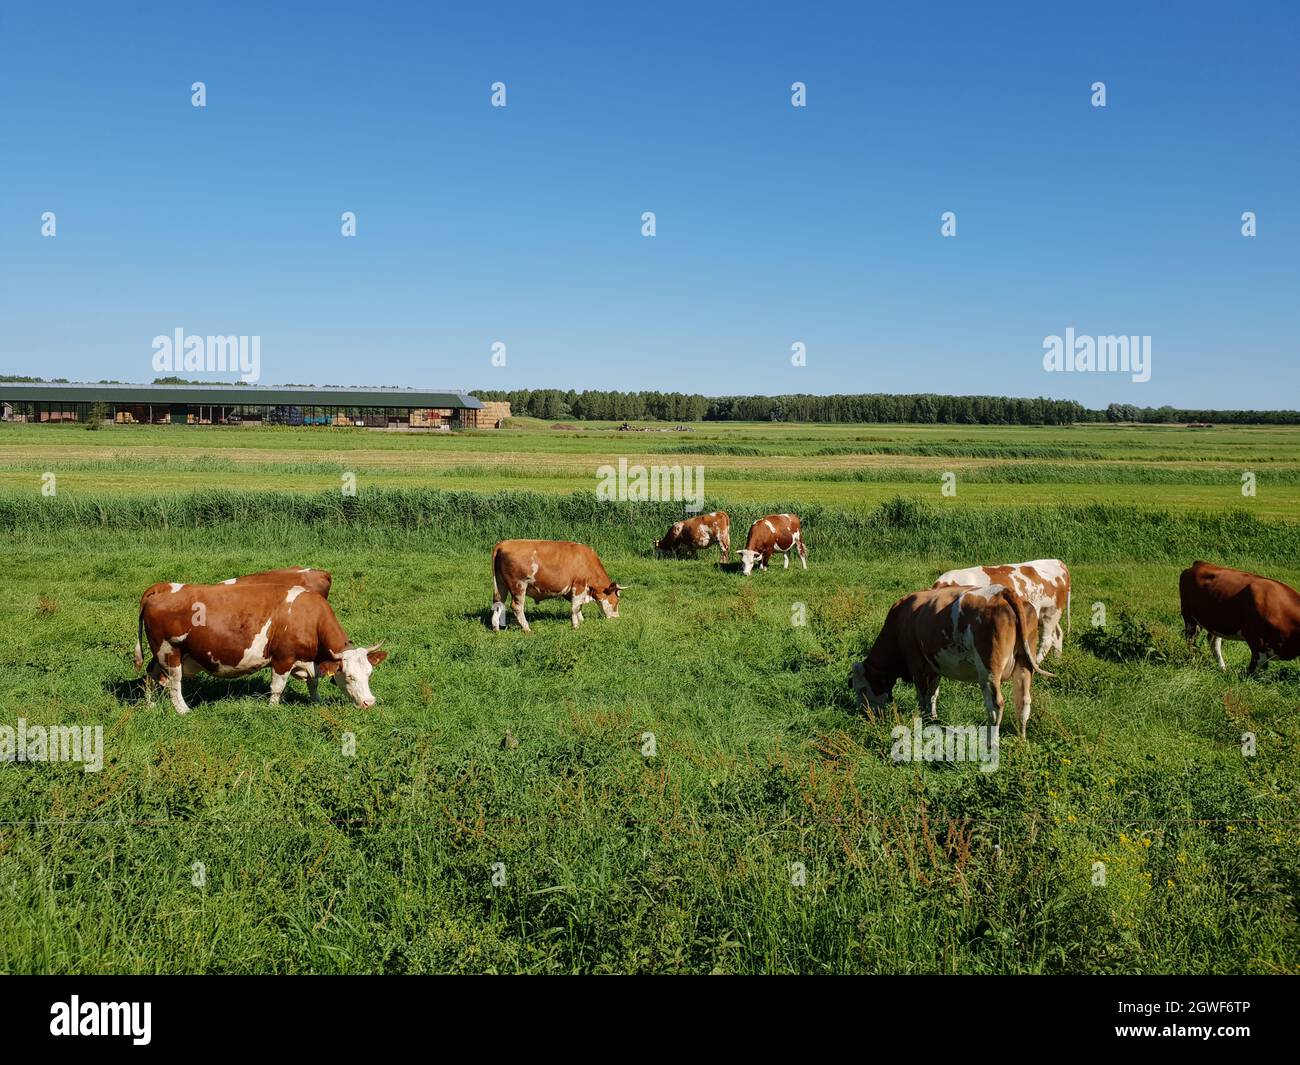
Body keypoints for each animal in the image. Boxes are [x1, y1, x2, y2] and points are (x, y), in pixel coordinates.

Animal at [136, 581, 385, 713]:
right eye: (350, 676)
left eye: (370, 674)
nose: (370, 702)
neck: (308, 617)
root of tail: (162, 587)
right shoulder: (283, 658)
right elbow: (277, 687)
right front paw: (273, 709)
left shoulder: (309, 661)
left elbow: (313, 684)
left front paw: (317, 702)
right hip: (170, 652)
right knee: (173, 684)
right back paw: (183, 710)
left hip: (159, 655)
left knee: (149, 675)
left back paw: (149, 705)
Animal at [491, 540, 624, 632]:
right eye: (616, 601)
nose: (617, 618)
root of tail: (503, 543)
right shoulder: (579, 586)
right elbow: (575, 607)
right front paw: (575, 626)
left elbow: (578, 607)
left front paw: (581, 620)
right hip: (519, 585)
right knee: (517, 607)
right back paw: (527, 628)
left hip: (500, 585)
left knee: (498, 604)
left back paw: (496, 628)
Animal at [850, 585, 1052, 739]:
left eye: (862, 689)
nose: (866, 716)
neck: (902, 619)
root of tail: (1001, 591)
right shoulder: (934, 666)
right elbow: (933, 694)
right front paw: (932, 719)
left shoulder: (917, 664)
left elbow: (922, 696)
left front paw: (923, 721)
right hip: (1024, 665)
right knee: (1023, 701)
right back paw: (1021, 739)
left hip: (989, 669)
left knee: (996, 705)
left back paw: (991, 741)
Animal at [933, 560, 1070, 663]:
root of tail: (1057, 562)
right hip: (1044, 614)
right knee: (1057, 634)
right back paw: (1057, 660)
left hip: (1050, 613)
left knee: (1047, 640)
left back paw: (1036, 663)